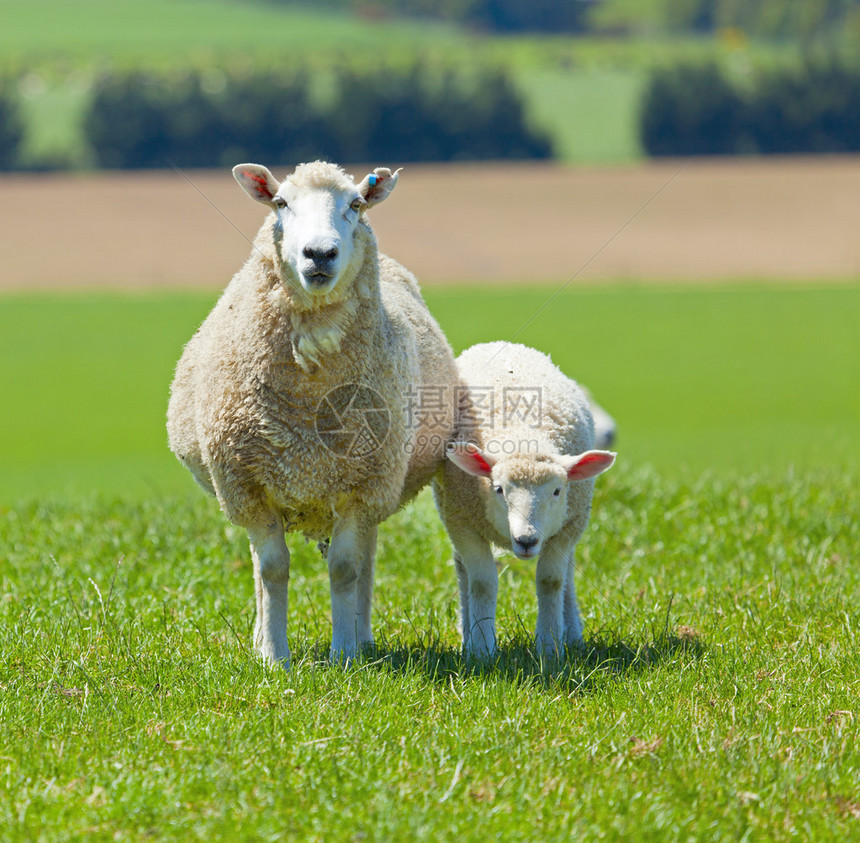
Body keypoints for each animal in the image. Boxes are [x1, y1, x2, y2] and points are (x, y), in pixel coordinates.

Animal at [170, 162, 460, 668]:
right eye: (281, 203)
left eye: (356, 205)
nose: (319, 253)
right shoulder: (247, 486)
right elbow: (271, 569)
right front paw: (273, 657)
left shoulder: (363, 485)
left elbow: (345, 568)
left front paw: (343, 655)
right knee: (259, 566)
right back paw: (260, 637)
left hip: (377, 485)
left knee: (364, 559)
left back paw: (362, 637)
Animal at [434, 342, 616, 660]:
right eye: (498, 489)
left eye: (557, 491)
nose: (527, 540)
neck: (522, 435)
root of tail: (502, 344)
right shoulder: (462, 522)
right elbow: (482, 583)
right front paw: (481, 650)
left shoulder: (569, 526)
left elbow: (551, 581)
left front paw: (549, 647)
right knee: (463, 570)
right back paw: (467, 635)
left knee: (567, 575)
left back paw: (572, 634)